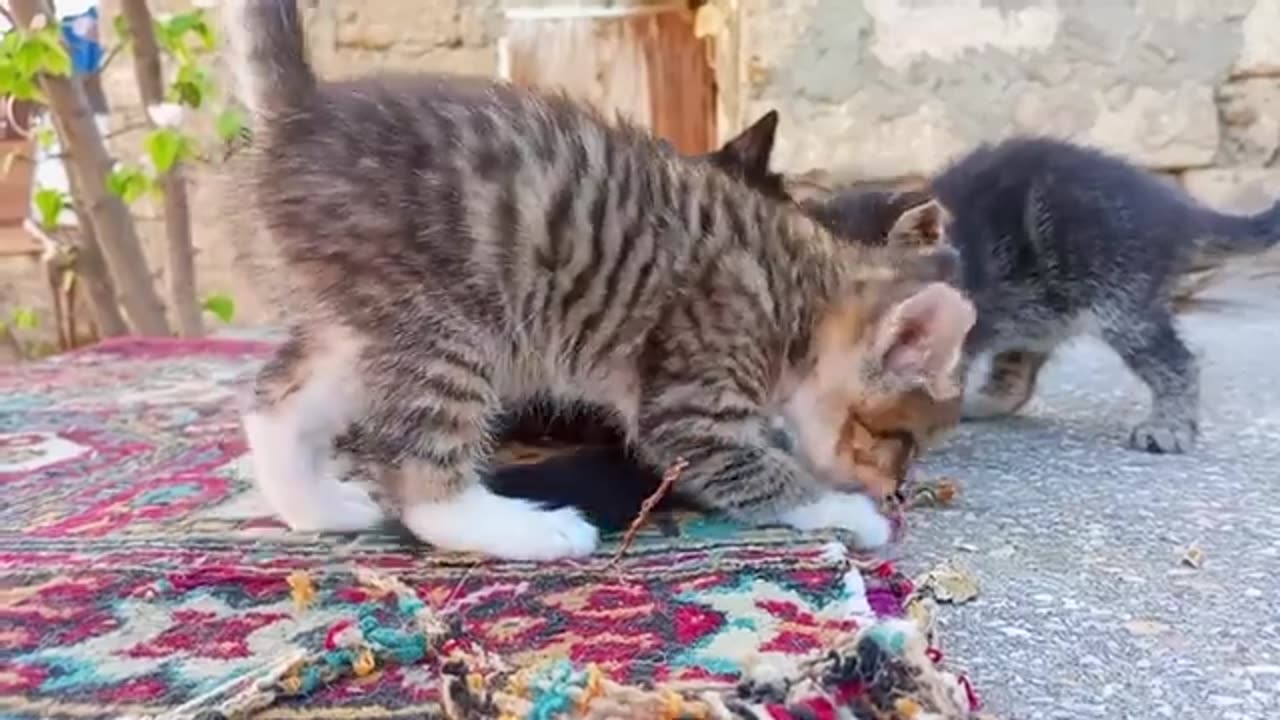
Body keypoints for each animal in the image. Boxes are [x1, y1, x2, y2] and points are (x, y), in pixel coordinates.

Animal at [225, 0, 972, 558]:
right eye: (899, 440)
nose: (896, 493)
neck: (798, 294)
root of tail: (303, 112)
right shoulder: (693, 391)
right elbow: (752, 469)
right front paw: (845, 512)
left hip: (365, 319)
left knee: (275, 400)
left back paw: (315, 506)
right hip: (445, 322)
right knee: (419, 480)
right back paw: (526, 528)